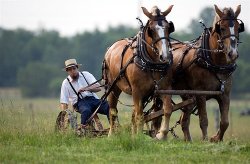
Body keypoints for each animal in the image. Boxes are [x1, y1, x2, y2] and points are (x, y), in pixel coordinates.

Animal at [103, 5, 176, 140]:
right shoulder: (137, 91)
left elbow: (168, 109)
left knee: (132, 113)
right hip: (113, 86)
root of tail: (110, 49)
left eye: (168, 28)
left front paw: (162, 134)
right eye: (151, 30)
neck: (152, 63)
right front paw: (139, 137)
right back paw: (111, 134)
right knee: (113, 110)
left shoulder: (165, 88)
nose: (165, 56)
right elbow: (140, 116)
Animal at [172, 4, 244, 142]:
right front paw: (205, 140)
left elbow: (225, 122)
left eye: (239, 28)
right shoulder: (201, 94)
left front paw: (216, 138)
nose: (233, 54)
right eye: (222, 28)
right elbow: (204, 120)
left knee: (184, 119)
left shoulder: (225, 94)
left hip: (187, 95)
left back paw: (188, 140)